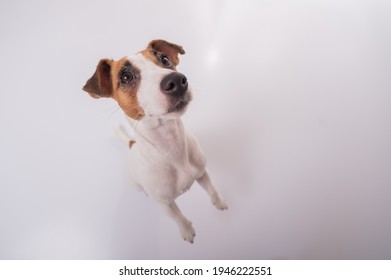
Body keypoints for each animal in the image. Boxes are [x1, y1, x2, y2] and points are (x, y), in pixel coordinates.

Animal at [84, 39, 228, 243]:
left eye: (165, 59)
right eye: (126, 77)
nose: (177, 80)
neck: (171, 146)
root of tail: (132, 145)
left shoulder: (202, 173)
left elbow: (212, 190)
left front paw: (219, 202)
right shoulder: (164, 204)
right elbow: (178, 217)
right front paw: (187, 230)